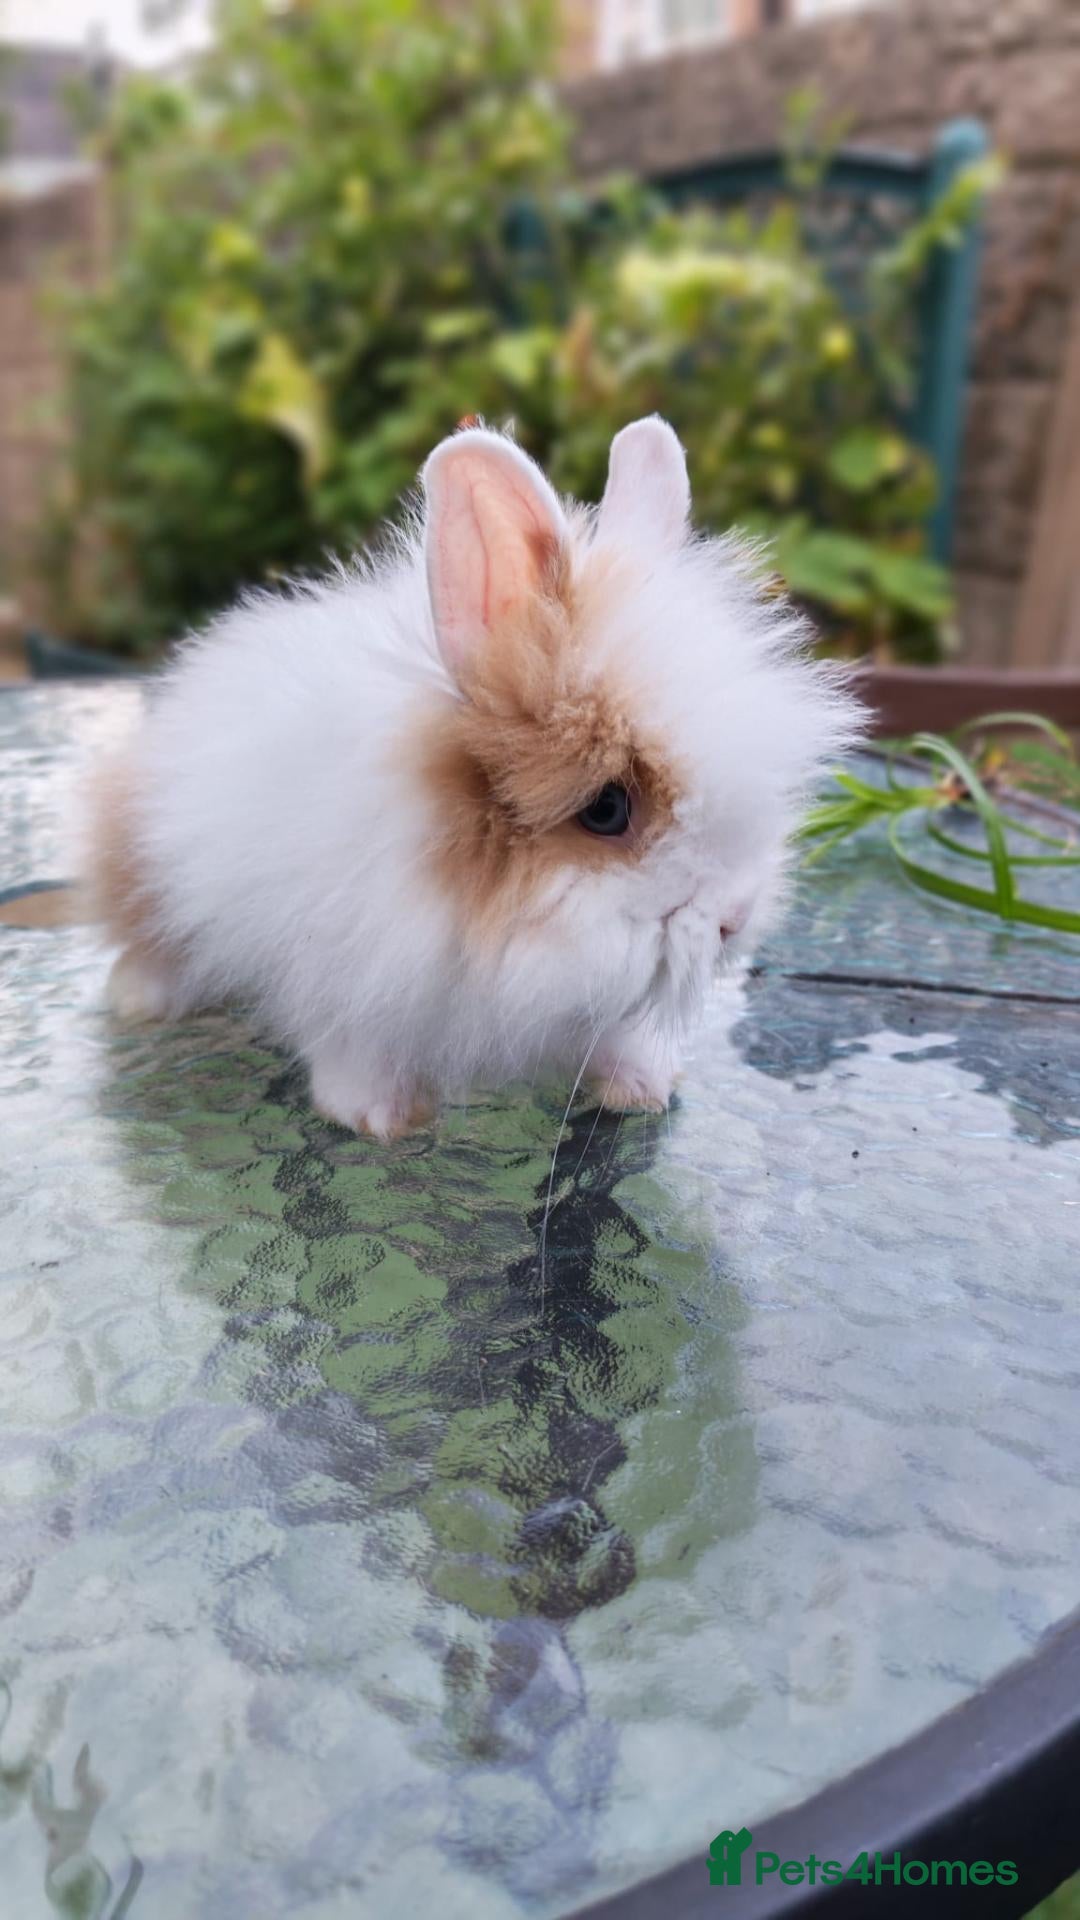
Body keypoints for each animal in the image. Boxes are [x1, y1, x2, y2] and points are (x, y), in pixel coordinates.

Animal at [86, 417, 864, 1139]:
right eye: (607, 809)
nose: (736, 918)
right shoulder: (350, 970)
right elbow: (356, 1048)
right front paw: (379, 1117)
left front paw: (643, 1088)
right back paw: (144, 998)